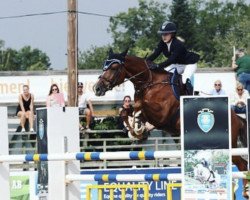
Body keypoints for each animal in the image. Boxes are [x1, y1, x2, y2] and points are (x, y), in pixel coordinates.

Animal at [93, 48, 248, 198]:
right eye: (104, 66)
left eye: (114, 67)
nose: (97, 88)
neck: (149, 83)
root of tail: (236, 117)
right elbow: (126, 111)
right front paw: (135, 129)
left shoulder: (161, 114)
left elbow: (140, 105)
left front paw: (138, 127)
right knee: (240, 164)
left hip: (228, 144)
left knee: (242, 163)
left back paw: (245, 191)